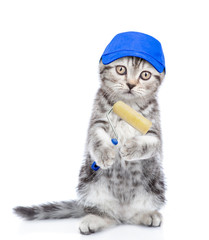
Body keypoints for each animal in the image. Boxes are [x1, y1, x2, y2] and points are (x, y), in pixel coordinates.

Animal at [13, 56, 166, 234]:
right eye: (121, 69)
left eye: (145, 75)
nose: (131, 84)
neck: (128, 107)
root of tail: (122, 211)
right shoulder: (96, 122)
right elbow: (96, 138)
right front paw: (105, 154)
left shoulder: (154, 130)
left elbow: (151, 143)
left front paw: (131, 147)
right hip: (88, 183)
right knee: (106, 214)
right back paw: (94, 219)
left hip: (155, 186)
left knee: (133, 215)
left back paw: (147, 214)